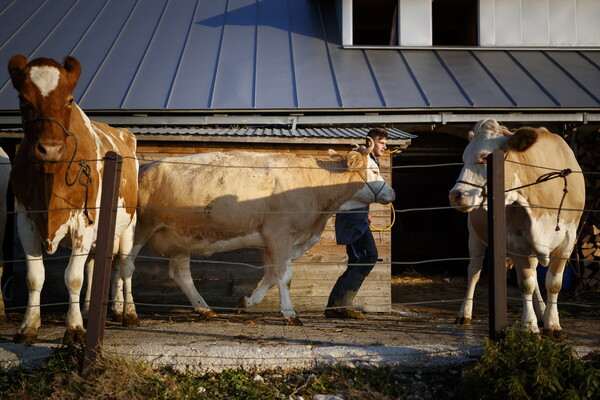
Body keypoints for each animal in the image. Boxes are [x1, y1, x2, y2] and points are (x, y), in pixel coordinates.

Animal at [7, 55, 139, 344]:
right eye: (23, 99)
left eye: (69, 100)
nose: (50, 148)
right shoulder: (26, 221)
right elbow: (35, 277)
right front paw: (28, 326)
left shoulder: (82, 224)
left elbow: (73, 277)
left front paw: (74, 328)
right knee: (95, 266)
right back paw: (90, 311)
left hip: (128, 227)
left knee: (125, 268)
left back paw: (129, 313)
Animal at [131, 143, 394, 324]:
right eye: (373, 170)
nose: (391, 193)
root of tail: (146, 166)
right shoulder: (280, 234)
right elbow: (284, 276)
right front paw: (289, 314)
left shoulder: (269, 241)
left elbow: (270, 276)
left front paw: (246, 301)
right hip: (140, 229)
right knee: (126, 266)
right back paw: (128, 313)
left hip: (179, 239)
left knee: (181, 274)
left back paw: (204, 309)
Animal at [450, 119, 584, 334]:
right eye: (463, 158)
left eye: (485, 157)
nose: (455, 195)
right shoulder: (516, 241)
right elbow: (525, 284)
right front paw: (529, 327)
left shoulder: (567, 240)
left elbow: (553, 283)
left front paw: (552, 323)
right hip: (475, 235)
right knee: (474, 271)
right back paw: (464, 313)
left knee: (536, 275)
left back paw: (542, 311)